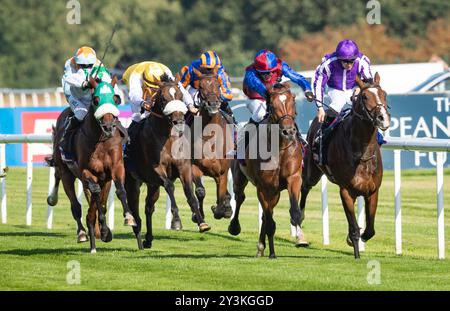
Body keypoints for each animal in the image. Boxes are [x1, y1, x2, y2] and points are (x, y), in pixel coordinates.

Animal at [47, 77, 136, 255]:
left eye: (116, 98)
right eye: (96, 100)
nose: (109, 126)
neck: (100, 140)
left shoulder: (115, 169)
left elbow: (120, 191)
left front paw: (128, 217)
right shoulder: (87, 172)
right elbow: (94, 196)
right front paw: (104, 230)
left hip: (102, 180)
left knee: (96, 204)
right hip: (66, 173)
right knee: (76, 205)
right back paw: (82, 233)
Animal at [124, 73, 210, 251]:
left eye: (179, 95)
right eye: (163, 98)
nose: (178, 121)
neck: (167, 138)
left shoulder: (184, 168)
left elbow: (189, 193)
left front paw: (202, 222)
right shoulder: (157, 169)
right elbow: (170, 186)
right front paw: (176, 219)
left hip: (152, 185)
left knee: (148, 207)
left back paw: (148, 239)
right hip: (132, 182)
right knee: (136, 212)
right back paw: (139, 240)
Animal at [189, 68, 234, 224]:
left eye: (218, 85)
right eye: (201, 86)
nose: (213, 103)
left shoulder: (222, 172)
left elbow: (221, 195)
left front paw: (221, 210)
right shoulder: (194, 166)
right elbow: (200, 191)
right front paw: (198, 216)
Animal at [229, 83, 306, 260]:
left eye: (293, 101)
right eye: (272, 105)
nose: (288, 131)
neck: (279, 147)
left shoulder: (293, 178)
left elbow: (295, 212)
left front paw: (300, 238)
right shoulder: (264, 186)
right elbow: (270, 222)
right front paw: (272, 253)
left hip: (275, 192)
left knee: (265, 213)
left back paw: (262, 246)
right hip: (240, 178)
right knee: (240, 197)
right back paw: (236, 228)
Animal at [300, 72, 392, 258]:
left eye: (384, 94)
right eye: (365, 97)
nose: (383, 119)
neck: (362, 154)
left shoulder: (373, 191)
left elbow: (370, 230)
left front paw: (355, 239)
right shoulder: (346, 191)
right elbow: (355, 228)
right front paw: (355, 249)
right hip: (312, 171)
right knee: (304, 186)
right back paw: (298, 218)